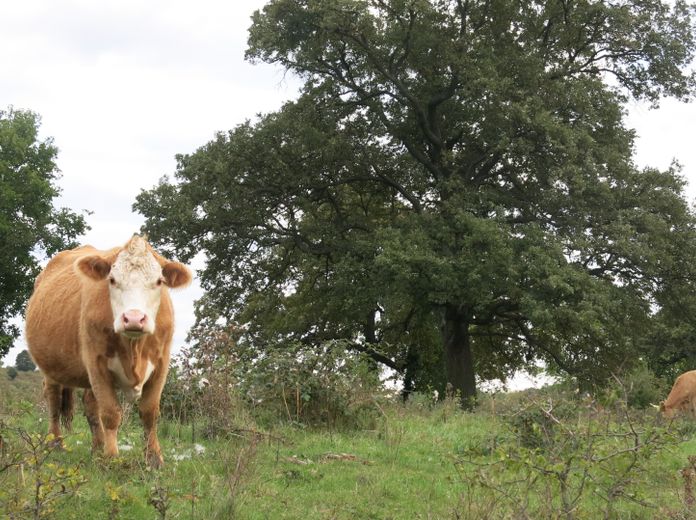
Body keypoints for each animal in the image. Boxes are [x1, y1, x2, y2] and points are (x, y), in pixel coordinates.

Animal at [25, 236, 190, 468]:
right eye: (112, 280)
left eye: (159, 281)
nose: (133, 318)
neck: (133, 348)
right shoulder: (97, 364)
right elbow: (111, 413)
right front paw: (112, 457)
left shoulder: (161, 364)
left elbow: (149, 412)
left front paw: (154, 458)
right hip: (51, 367)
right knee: (54, 401)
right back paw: (56, 443)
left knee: (90, 406)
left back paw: (97, 448)